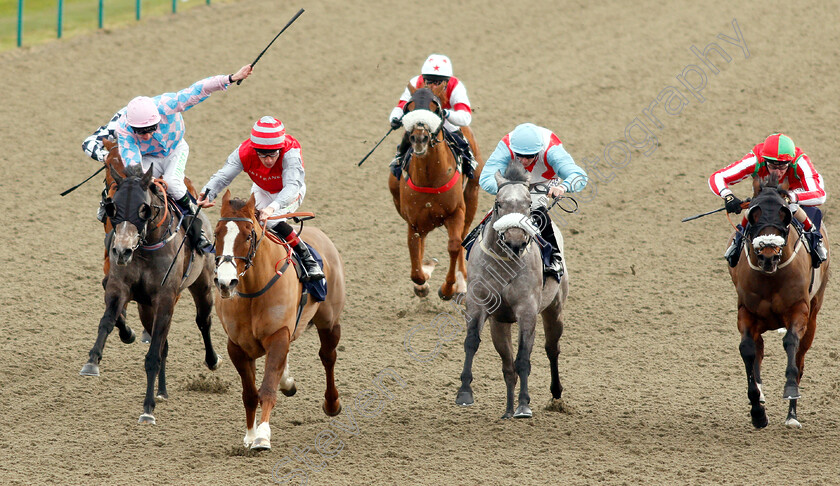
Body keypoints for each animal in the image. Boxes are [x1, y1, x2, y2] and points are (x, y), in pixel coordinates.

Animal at [79, 163, 220, 426]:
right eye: (113, 206)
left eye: (143, 208)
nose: (122, 250)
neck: (146, 247)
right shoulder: (120, 286)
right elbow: (107, 321)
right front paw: (92, 361)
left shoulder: (165, 299)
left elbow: (153, 355)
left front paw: (147, 409)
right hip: (146, 307)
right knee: (164, 343)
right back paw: (161, 391)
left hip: (203, 285)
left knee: (203, 321)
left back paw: (212, 359)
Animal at [213, 192, 344, 450]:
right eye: (216, 233)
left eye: (248, 235)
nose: (225, 282)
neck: (253, 291)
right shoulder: (236, 346)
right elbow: (249, 393)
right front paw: (250, 434)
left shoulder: (278, 335)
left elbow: (267, 388)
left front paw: (263, 435)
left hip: (330, 321)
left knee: (328, 356)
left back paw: (332, 403)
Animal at [388, 87, 482, 300]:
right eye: (409, 107)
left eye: (436, 107)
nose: (419, 138)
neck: (430, 178)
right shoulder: (414, 221)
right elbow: (415, 267)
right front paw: (424, 279)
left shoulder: (456, 212)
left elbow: (455, 245)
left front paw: (448, 289)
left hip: (472, 196)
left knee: (463, 237)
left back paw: (462, 283)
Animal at [452, 162, 572, 418]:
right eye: (499, 203)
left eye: (527, 204)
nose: (515, 241)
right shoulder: (478, 304)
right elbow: (472, 342)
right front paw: (464, 392)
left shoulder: (527, 310)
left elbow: (524, 357)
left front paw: (524, 404)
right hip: (500, 324)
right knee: (507, 366)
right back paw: (508, 409)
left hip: (554, 310)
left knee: (552, 349)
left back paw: (555, 393)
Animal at [732, 177, 832, 428]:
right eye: (753, 213)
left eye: (784, 215)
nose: (768, 255)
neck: (771, 276)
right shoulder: (747, 313)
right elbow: (748, 349)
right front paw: (757, 411)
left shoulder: (799, 310)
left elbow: (790, 343)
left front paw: (790, 390)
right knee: (758, 349)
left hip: (814, 314)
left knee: (800, 357)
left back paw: (792, 415)